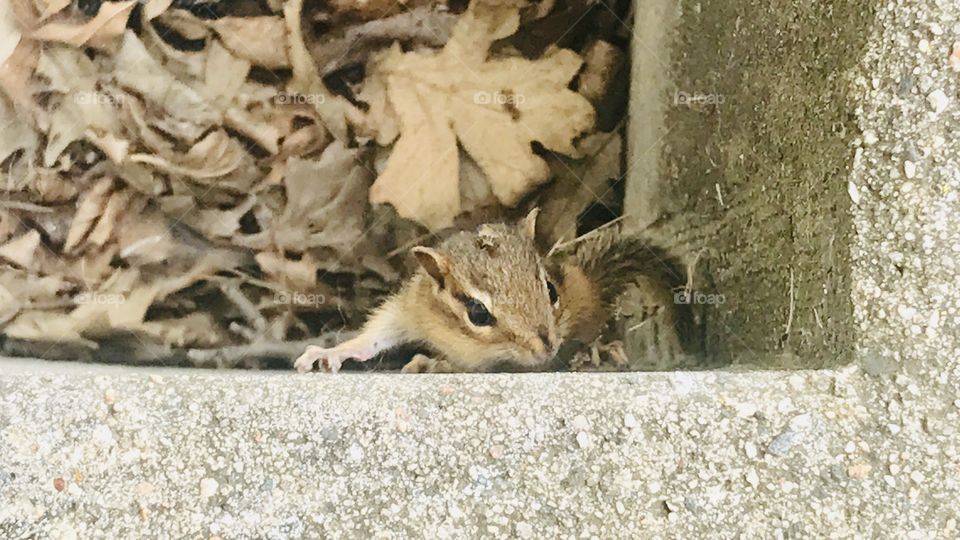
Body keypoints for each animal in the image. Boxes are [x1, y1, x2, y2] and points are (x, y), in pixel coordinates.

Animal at [293, 209, 687, 373]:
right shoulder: (412, 307)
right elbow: (376, 335)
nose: (546, 346)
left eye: (550, 289)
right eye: (478, 313)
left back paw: (598, 351)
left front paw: (433, 365)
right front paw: (331, 352)